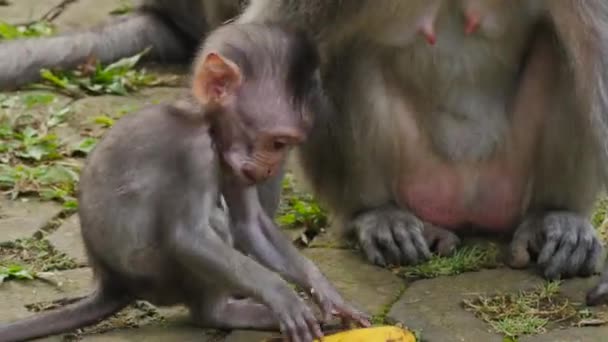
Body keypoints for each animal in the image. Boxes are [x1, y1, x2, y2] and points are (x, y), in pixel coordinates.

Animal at [0, 0, 604, 280]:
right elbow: (265, 40)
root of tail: (467, 210)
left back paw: (557, 217)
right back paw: (377, 215)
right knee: (334, 55)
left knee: (564, 47)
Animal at [0, 23, 368, 342]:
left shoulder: (234, 163)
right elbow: (188, 237)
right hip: (157, 274)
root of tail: (113, 282)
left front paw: (324, 290)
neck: (204, 121)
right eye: (277, 143)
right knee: (210, 229)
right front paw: (282, 296)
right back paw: (221, 312)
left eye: (288, 145)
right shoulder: (192, 154)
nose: (269, 169)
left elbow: (249, 224)